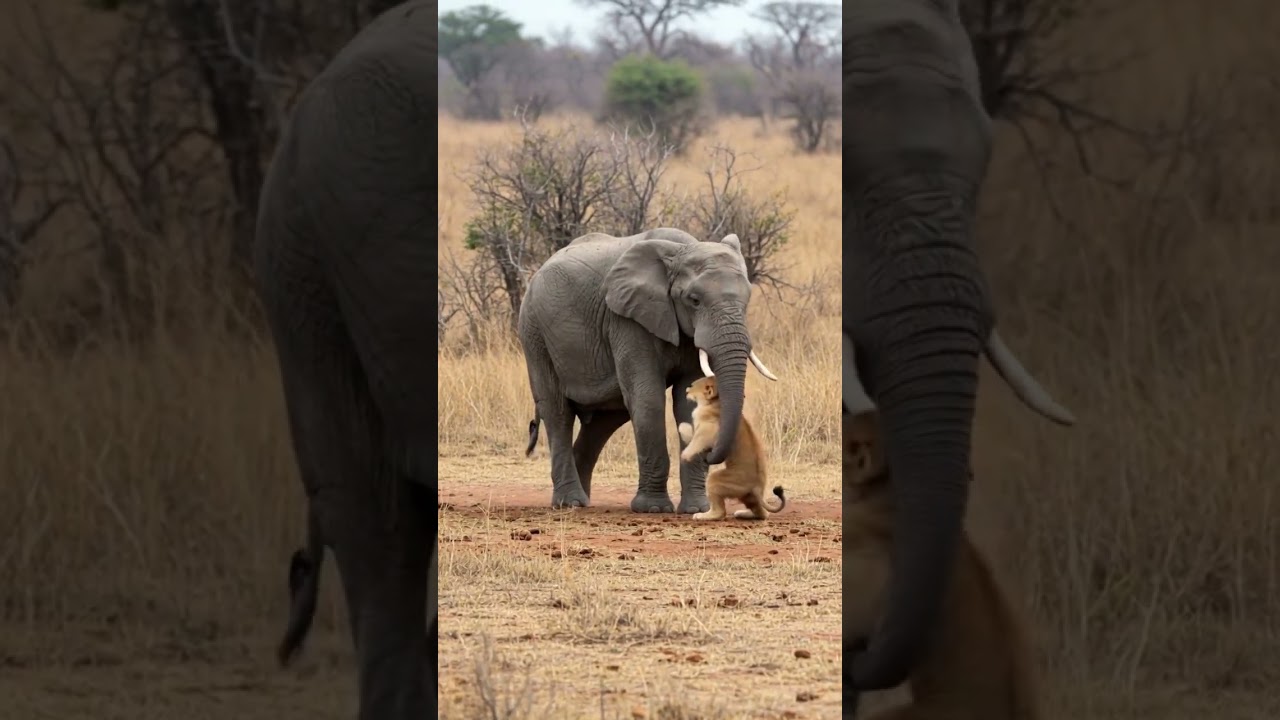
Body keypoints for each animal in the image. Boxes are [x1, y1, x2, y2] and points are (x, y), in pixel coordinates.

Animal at [519, 228, 778, 514]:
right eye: (694, 300)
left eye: (747, 300)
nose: (711, 453)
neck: (682, 250)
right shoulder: (627, 321)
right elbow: (649, 399)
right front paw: (653, 509)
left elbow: (686, 401)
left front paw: (696, 510)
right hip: (534, 333)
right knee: (557, 411)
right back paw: (570, 503)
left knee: (605, 419)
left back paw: (583, 501)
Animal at [677, 375, 785, 520]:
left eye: (693, 385)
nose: (686, 390)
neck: (714, 402)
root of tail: (757, 487)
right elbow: (690, 434)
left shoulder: (708, 431)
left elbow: (695, 440)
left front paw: (685, 455)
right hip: (748, 497)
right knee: (762, 513)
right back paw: (743, 513)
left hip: (717, 480)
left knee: (720, 511)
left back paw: (702, 515)